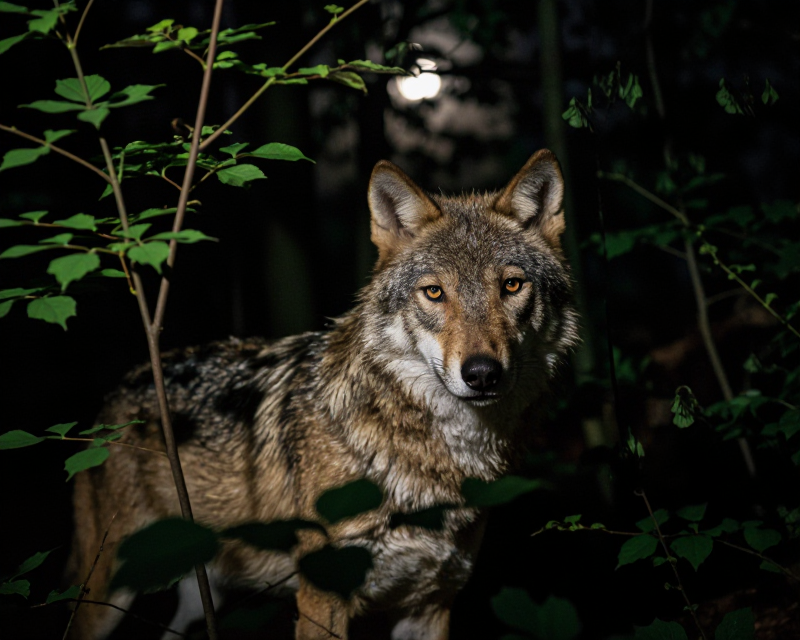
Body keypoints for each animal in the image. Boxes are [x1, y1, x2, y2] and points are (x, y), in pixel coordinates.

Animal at [67, 149, 578, 640]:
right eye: (434, 293)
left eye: (511, 285)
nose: (482, 374)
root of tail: (120, 390)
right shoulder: (323, 600)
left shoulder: (430, 607)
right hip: (109, 594)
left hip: (200, 602)